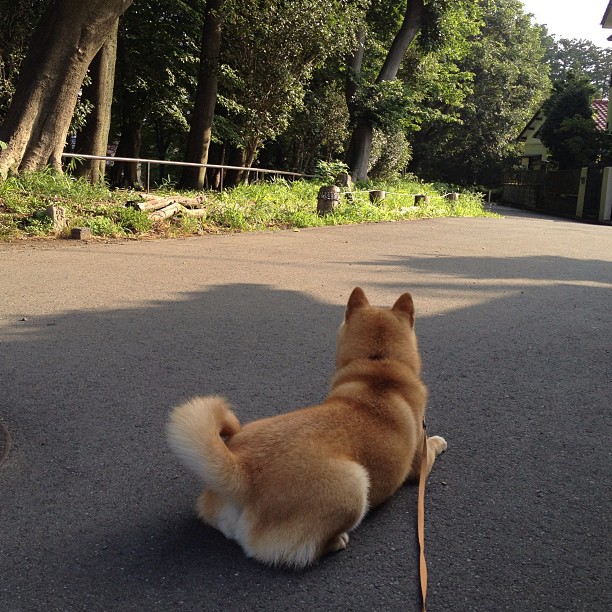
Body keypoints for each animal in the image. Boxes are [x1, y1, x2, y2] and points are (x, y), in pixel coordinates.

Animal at [166, 286, 444, 568]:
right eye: (376, 370)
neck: (378, 366)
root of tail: (243, 471)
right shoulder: (418, 464)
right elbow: (431, 447)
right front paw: (441, 441)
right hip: (353, 486)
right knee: (309, 549)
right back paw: (336, 542)